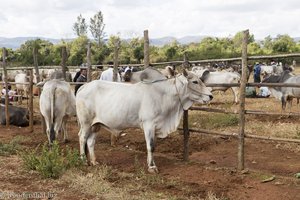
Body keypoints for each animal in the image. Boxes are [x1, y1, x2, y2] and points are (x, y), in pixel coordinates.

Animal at [77, 69, 213, 173]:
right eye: (195, 81)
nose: (210, 96)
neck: (163, 95)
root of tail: (84, 86)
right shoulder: (149, 124)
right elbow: (150, 146)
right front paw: (152, 167)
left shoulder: (155, 126)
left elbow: (153, 146)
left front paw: (149, 163)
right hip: (86, 123)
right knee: (82, 138)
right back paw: (83, 161)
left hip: (96, 125)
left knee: (90, 141)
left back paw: (94, 161)